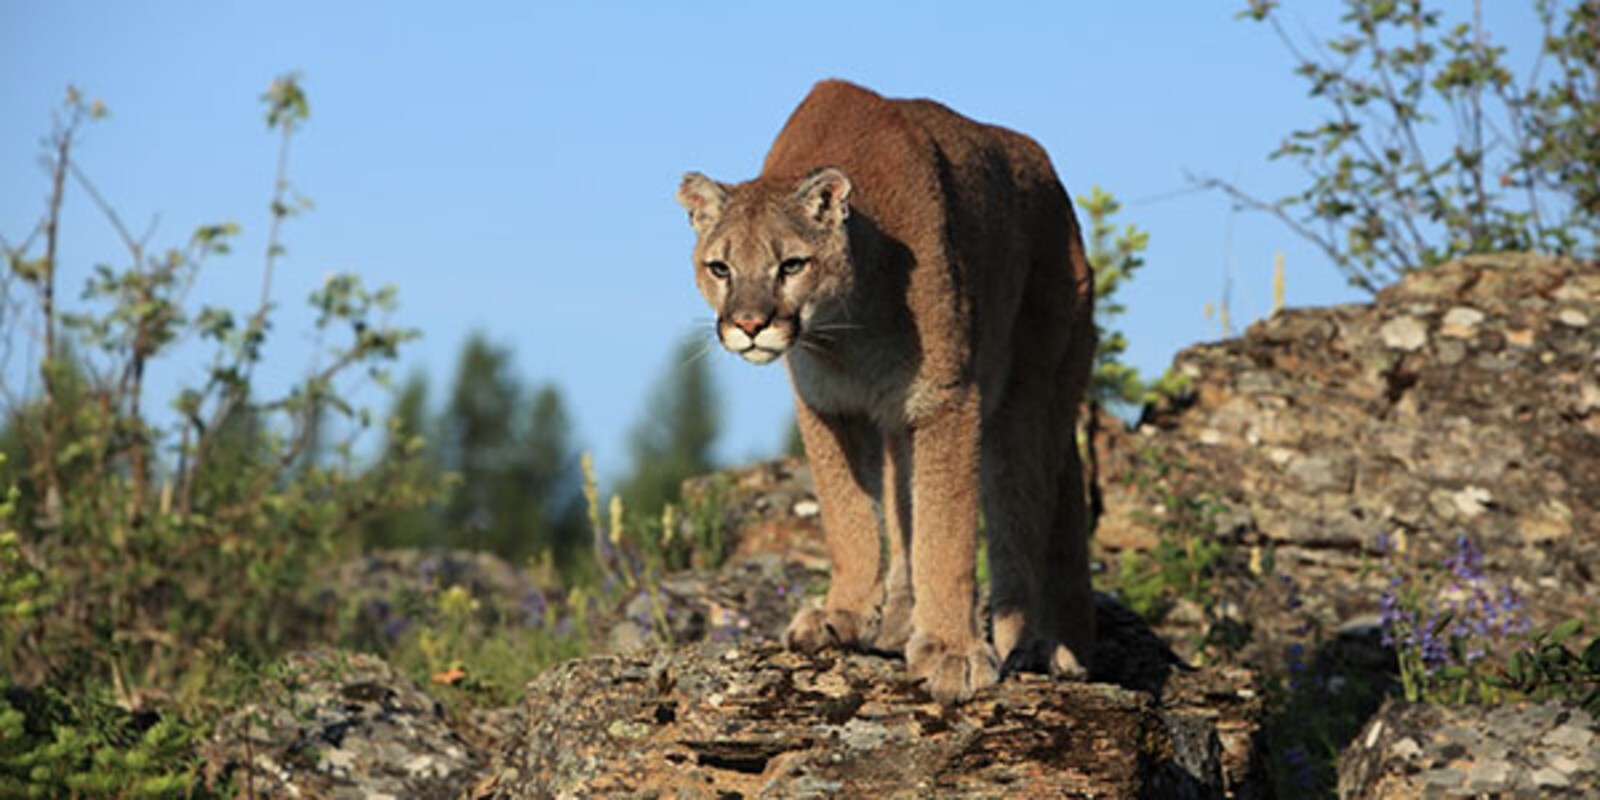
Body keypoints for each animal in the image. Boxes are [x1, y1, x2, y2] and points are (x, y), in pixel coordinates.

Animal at [676, 79, 1096, 704]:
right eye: (720, 268)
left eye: (791, 265)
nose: (749, 325)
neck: (846, 329)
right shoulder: (829, 407)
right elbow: (849, 517)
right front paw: (841, 614)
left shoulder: (947, 399)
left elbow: (945, 532)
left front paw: (952, 652)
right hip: (903, 423)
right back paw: (899, 626)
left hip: (1030, 393)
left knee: (1024, 510)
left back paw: (1039, 644)